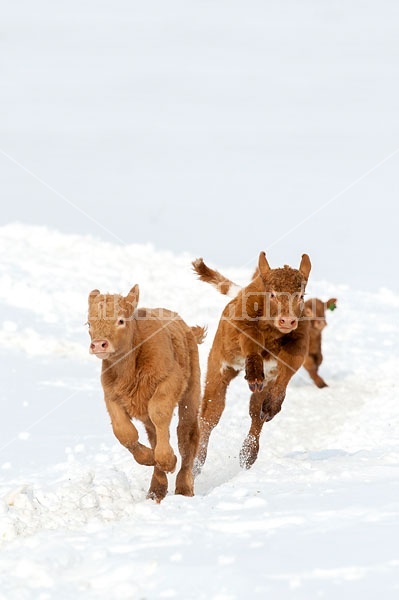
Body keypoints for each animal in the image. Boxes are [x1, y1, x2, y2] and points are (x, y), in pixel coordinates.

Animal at [88, 286, 206, 502]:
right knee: (155, 435)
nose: (99, 344)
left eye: (120, 320)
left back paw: (184, 486)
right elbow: (124, 432)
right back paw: (156, 490)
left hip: (190, 395)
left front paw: (168, 460)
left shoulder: (169, 381)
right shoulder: (111, 396)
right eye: (89, 323)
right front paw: (150, 458)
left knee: (186, 435)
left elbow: (159, 412)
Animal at [194, 251, 312, 472]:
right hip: (218, 366)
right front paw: (254, 373)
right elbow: (251, 342)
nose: (287, 320)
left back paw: (248, 454)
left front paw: (272, 405)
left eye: (300, 296)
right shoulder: (245, 329)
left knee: (255, 413)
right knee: (209, 414)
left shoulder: (299, 344)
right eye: (272, 294)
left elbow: (286, 372)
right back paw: (196, 462)